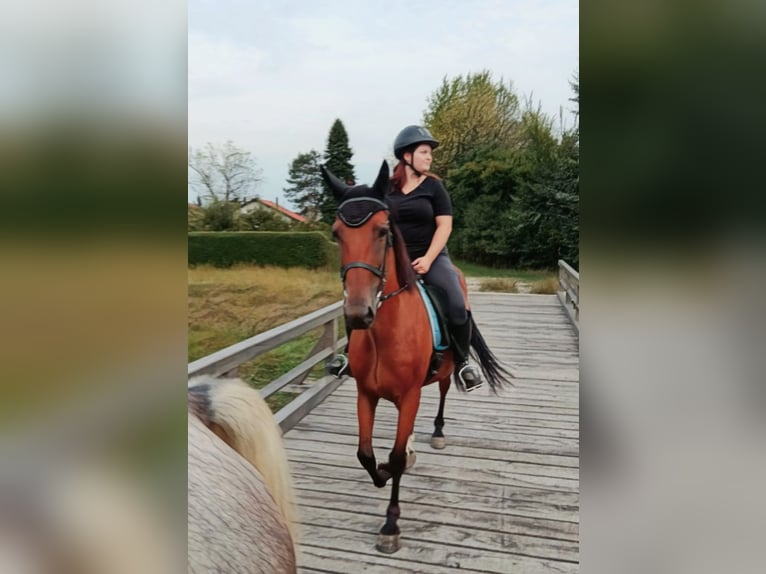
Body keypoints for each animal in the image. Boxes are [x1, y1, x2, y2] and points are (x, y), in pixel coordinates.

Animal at [320, 160, 513, 553]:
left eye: (382, 231)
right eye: (336, 233)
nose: (358, 314)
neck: (384, 333)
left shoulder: (409, 395)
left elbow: (393, 456)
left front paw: (391, 524)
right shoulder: (366, 393)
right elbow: (366, 453)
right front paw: (381, 472)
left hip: (443, 374)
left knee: (442, 393)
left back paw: (437, 430)